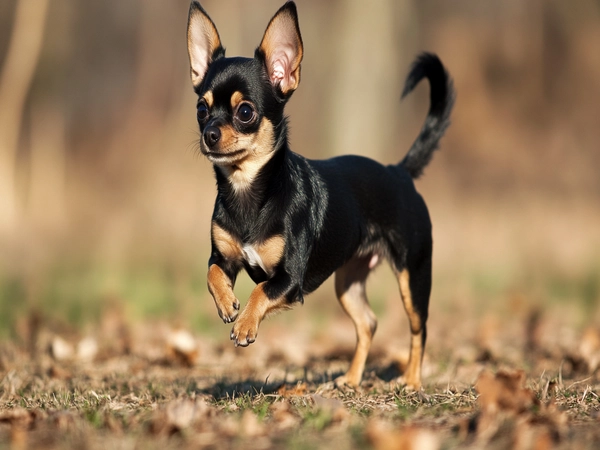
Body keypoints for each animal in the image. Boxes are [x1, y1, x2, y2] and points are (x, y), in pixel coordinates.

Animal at [188, 0, 454, 390]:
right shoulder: (222, 257)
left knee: (419, 328)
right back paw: (352, 380)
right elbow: (211, 274)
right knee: (368, 323)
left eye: (245, 112)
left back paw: (412, 381)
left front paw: (246, 324)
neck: (248, 190)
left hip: (413, 274)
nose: (208, 133)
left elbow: (260, 290)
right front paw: (226, 304)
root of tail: (399, 171)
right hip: (348, 282)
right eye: (201, 109)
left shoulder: (289, 280)